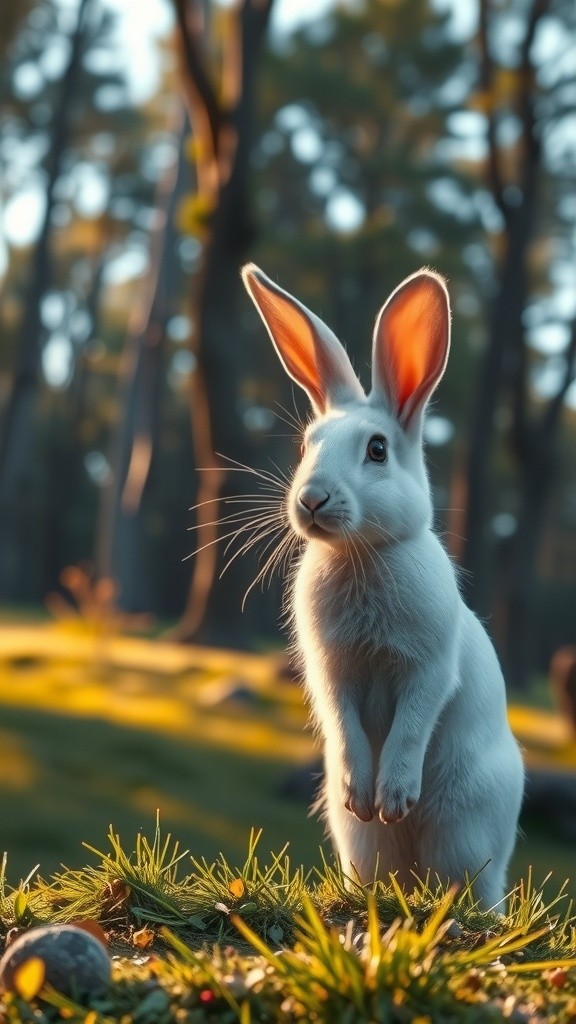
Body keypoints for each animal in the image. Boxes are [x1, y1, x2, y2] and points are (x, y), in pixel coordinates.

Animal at [241, 262, 524, 910]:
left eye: (376, 450)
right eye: (306, 446)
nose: (312, 499)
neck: (361, 555)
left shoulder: (428, 669)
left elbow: (411, 725)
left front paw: (394, 799)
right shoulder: (332, 670)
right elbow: (345, 727)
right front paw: (361, 795)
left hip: (465, 830)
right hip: (363, 846)